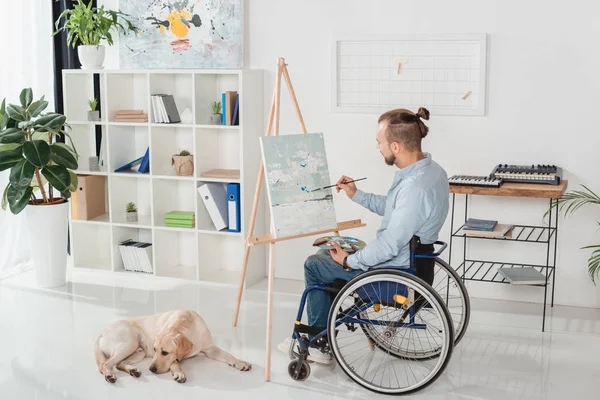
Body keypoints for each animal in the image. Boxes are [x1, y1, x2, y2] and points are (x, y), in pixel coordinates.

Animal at [95, 308, 250, 382]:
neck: (185, 323)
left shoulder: (210, 348)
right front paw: (179, 373)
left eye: (164, 352)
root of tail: (102, 332)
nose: (151, 369)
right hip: (130, 343)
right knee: (105, 364)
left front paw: (240, 362)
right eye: (155, 349)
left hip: (138, 351)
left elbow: (228, 355)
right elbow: (175, 362)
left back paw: (133, 370)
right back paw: (109, 376)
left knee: (118, 364)